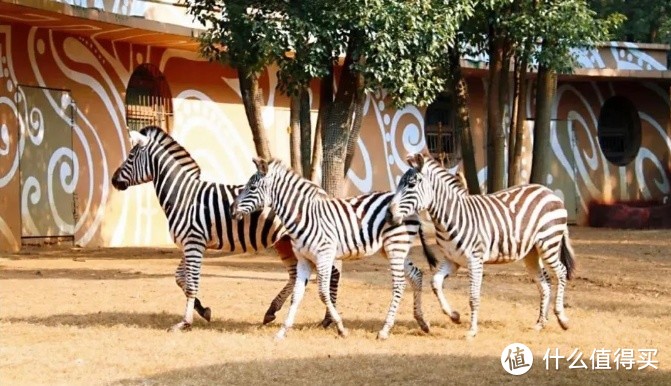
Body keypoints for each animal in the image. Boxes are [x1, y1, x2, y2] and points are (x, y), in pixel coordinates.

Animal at [113, 126, 342, 332]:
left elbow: (191, 283)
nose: (114, 181)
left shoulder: (194, 243)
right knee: (296, 275)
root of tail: (320, 190)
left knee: (332, 272)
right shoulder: (190, 244)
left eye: (131, 155)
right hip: (285, 241)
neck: (184, 196)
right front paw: (203, 310)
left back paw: (328, 319)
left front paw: (185, 322)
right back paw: (272, 311)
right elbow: (181, 279)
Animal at [231, 157, 436, 340]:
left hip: (396, 245)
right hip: (391, 249)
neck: (303, 216)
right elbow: (297, 294)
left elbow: (323, 293)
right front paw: (282, 331)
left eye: (252, 188)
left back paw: (385, 330)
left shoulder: (324, 256)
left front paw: (340, 328)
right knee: (416, 275)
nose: (232, 210)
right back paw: (423, 322)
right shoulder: (304, 260)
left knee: (400, 283)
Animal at [388, 153, 576, 338]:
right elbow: (435, 283)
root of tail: (549, 191)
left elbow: (473, 297)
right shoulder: (452, 260)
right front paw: (454, 315)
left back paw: (562, 319)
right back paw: (540, 324)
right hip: (531, 252)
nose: (389, 213)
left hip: (548, 243)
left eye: (411, 185)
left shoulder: (474, 259)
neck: (450, 217)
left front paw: (472, 331)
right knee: (544, 283)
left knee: (561, 272)